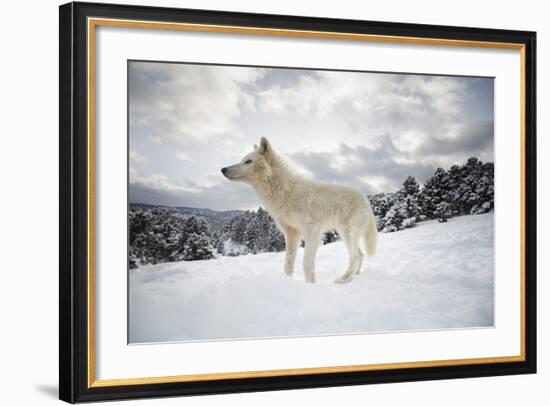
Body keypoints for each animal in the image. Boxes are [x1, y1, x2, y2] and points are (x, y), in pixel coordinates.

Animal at [222, 138, 378, 284]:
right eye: (242, 160)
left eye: (248, 161)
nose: (223, 169)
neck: (285, 192)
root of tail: (365, 198)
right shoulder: (291, 234)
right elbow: (288, 264)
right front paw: (286, 282)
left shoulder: (313, 231)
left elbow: (306, 263)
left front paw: (310, 284)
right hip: (344, 234)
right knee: (360, 255)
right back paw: (354, 277)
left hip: (347, 232)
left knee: (355, 257)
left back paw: (343, 280)